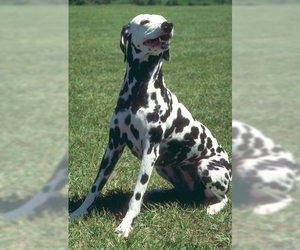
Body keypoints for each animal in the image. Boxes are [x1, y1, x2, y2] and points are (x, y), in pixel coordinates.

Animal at [69, 14, 230, 237]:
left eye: (164, 20)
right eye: (145, 21)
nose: (168, 26)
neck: (138, 89)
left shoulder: (149, 152)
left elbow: (136, 195)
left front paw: (126, 225)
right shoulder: (113, 147)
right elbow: (95, 187)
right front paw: (79, 212)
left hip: (206, 167)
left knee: (224, 198)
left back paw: (214, 207)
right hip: (164, 168)